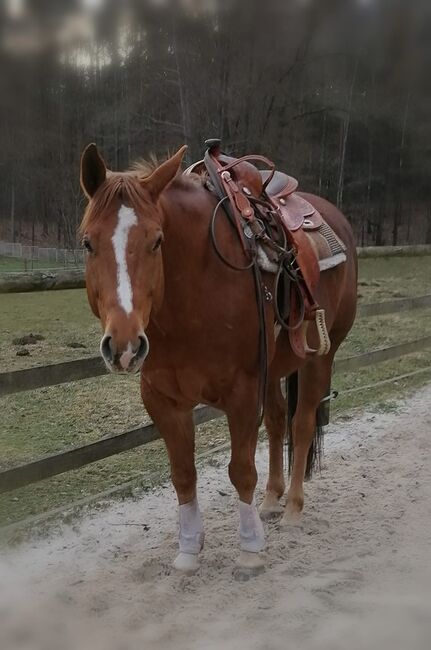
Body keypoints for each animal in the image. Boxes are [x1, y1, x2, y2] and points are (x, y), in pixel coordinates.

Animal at [80, 143, 358, 572]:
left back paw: (293, 508)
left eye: (157, 241)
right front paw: (188, 550)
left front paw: (250, 551)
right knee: (277, 421)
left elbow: (241, 470)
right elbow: (182, 474)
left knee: (301, 424)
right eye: (87, 243)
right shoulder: (163, 400)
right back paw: (272, 499)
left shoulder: (242, 393)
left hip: (318, 359)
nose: (124, 345)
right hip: (273, 367)